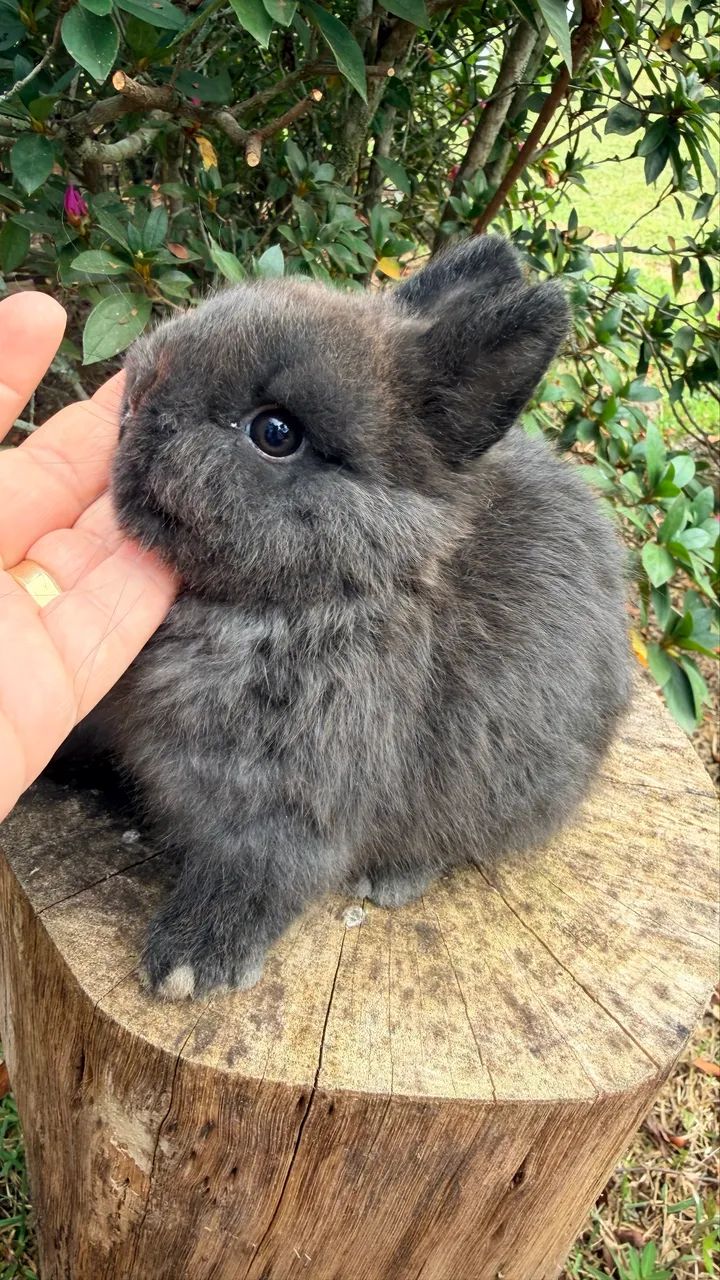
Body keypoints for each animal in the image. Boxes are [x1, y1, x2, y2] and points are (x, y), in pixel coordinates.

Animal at [103, 235, 632, 1000]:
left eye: (275, 432)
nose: (138, 401)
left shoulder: (291, 810)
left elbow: (256, 878)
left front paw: (187, 965)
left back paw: (392, 879)